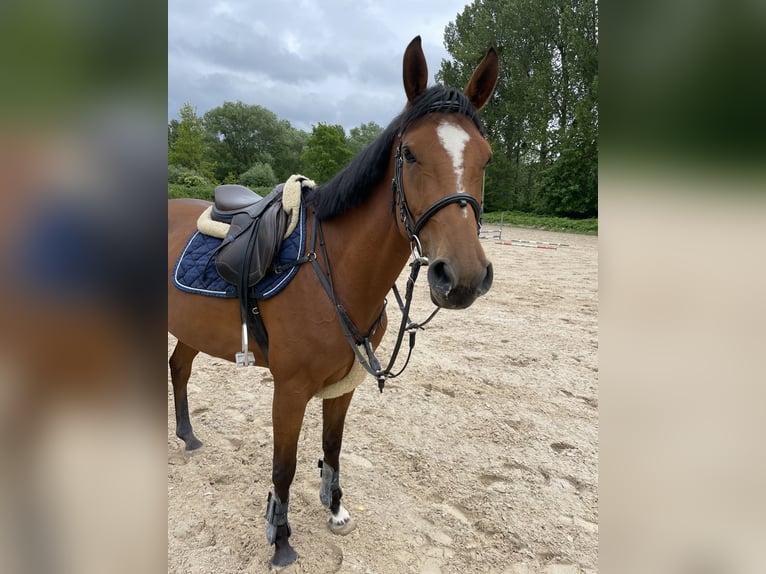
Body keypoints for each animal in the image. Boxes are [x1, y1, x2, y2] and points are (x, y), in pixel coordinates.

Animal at [168, 36, 499, 568]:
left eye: (486, 159)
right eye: (409, 154)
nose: (463, 276)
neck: (334, 268)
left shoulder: (344, 384)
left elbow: (333, 447)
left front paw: (336, 508)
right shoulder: (290, 389)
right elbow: (283, 467)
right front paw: (280, 540)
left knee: (179, 367)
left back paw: (188, 435)